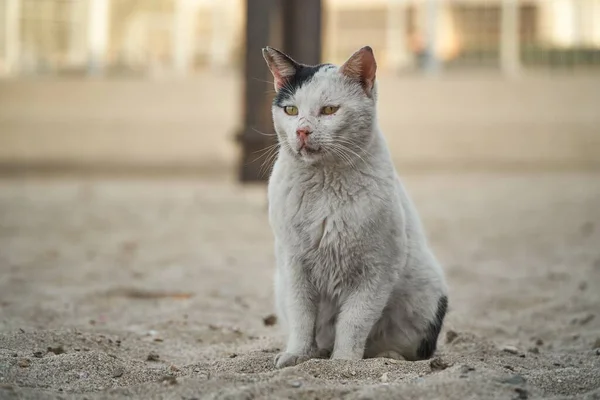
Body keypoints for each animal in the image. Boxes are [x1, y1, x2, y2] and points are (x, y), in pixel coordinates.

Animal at [262, 44, 446, 368]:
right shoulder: (293, 264)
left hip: (427, 294)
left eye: (329, 110)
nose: (302, 131)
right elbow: (301, 316)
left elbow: (354, 322)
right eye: (291, 110)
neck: (325, 185)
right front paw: (298, 355)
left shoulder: (377, 271)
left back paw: (387, 356)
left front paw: (344, 362)